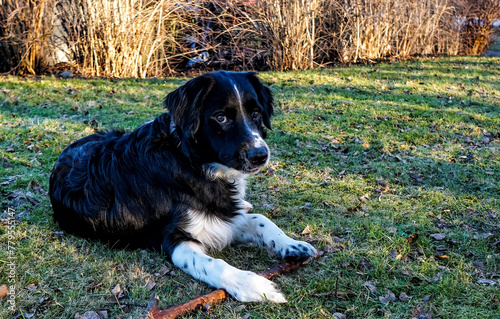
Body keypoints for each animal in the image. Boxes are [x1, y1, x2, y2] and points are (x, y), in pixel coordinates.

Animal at [49, 71, 316, 304]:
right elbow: (216, 265)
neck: (193, 162)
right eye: (221, 117)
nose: (260, 155)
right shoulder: (176, 240)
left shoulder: (224, 218)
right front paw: (255, 286)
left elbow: (261, 220)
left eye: (257, 113)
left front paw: (291, 244)